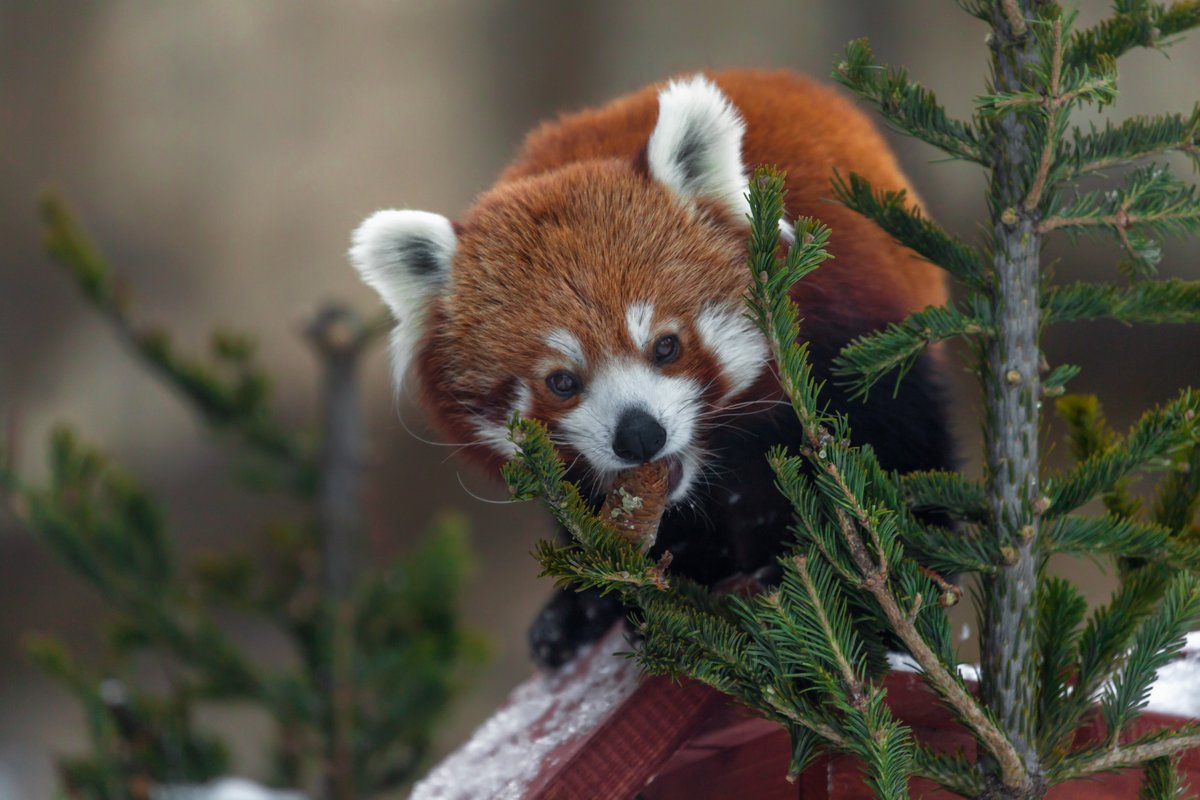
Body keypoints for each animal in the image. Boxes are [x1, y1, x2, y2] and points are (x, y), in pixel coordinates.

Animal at [350, 70, 950, 671]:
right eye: (562, 381)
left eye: (665, 346)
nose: (640, 435)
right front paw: (603, 605)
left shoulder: (850, 340)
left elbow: (891, 455)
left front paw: (861, 586)